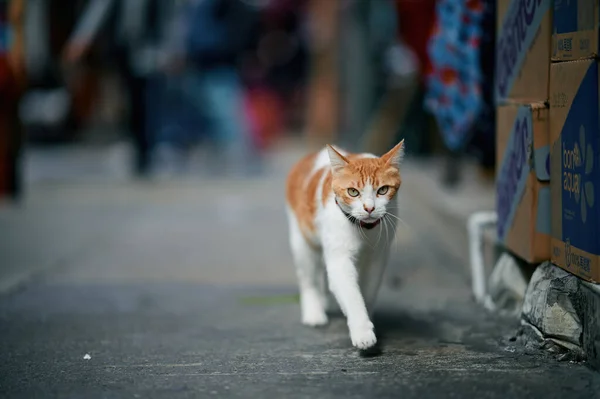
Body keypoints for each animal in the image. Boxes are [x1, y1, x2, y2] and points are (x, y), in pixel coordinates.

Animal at [284, 141, 404, 350]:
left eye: (382, 190)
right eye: (353, 192)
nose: (369, 208)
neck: (366, 231)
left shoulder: (377, 258)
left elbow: (368, 290)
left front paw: (369, 317)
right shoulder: (340, 260)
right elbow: (352, 295)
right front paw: (362, 332)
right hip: (303, 242)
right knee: (308, 280)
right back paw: (314, 313)